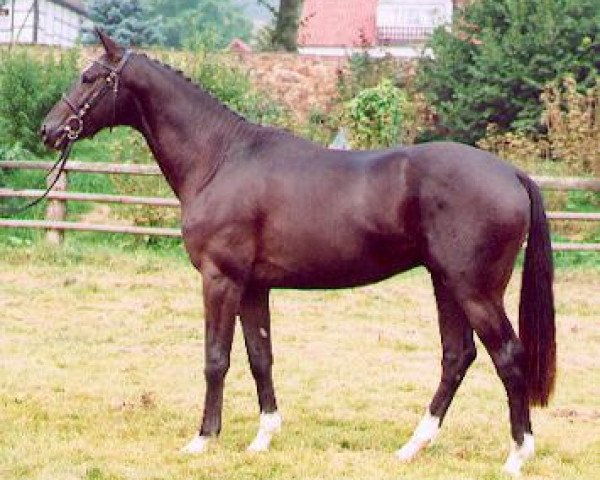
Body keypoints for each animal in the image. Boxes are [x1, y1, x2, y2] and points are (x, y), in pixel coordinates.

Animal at [41, 30, 556, 476]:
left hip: (475, 290)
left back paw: (517, 456)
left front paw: (203, 439)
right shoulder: (253, 287)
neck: (221, 158)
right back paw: (412, 447)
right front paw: (263, 437)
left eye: (89, 77)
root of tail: (512, 173)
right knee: (457, 356)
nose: (49, 130)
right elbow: (259, 356)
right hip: (445, 283)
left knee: (508, 357)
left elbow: (216, 357)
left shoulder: (220, 279)